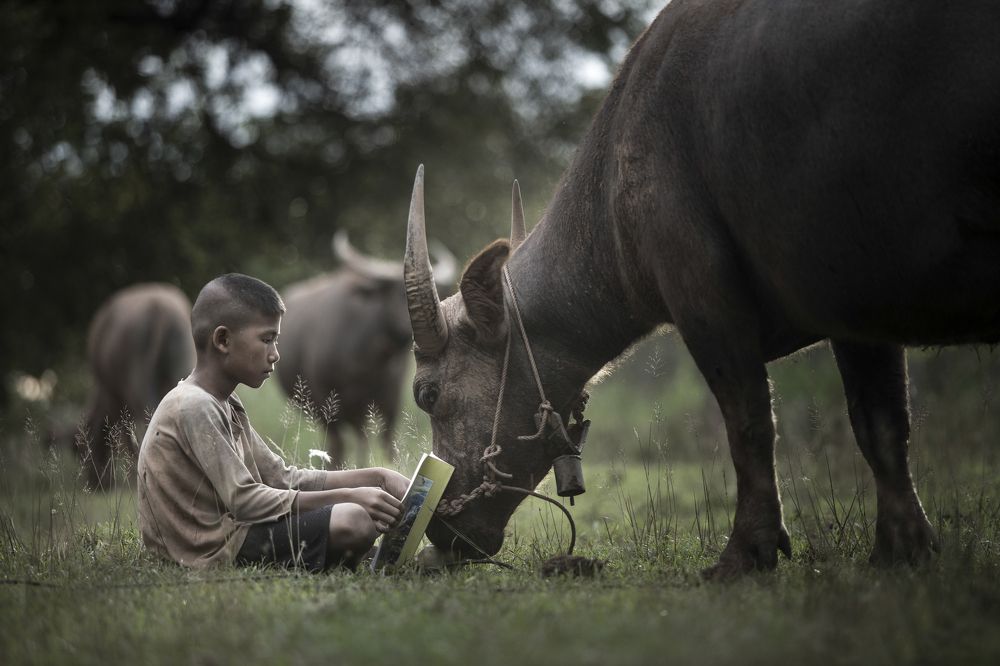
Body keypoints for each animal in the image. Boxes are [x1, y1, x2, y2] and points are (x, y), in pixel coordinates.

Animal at [80, 283, 195, 489]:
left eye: (82, 448)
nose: (96, 484)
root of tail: (160, 310)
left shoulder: (115, 395)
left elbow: (125, 432)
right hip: (181, 364)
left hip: (137, 379)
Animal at [277, 231, 455, 468]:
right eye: (394, 293)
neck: (368, 362)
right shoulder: (328, 402)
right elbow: (343, 444)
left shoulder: (389, 400)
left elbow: (386, 441)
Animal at [403, 0, 1000, 579]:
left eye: (426, 395)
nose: (441, 530)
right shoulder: (851, 307)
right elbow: (880, 423)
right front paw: (902, 548)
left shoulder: (704, 299)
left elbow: (748, 421)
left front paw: (746, 551)